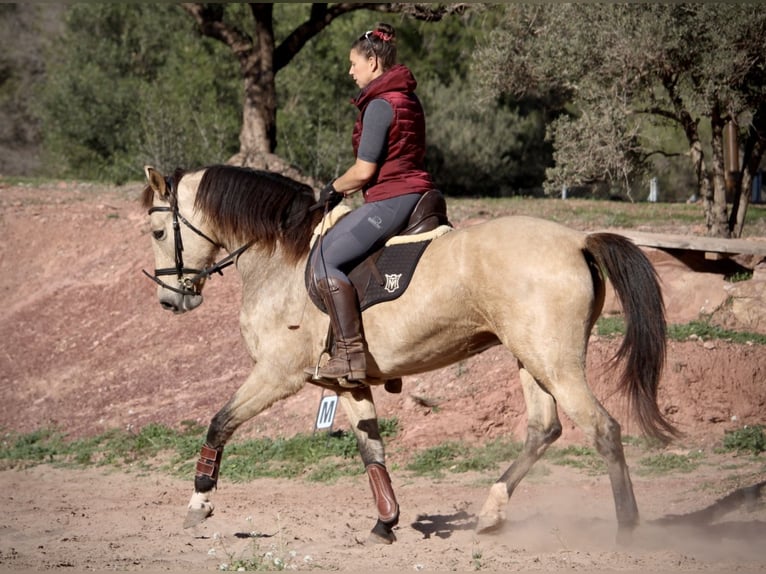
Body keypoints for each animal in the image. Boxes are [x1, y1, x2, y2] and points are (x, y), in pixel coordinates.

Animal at [142, 164, 680, 548]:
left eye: (157, 234)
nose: (170, 301)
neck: (282, 258)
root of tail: (577, 240)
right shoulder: (347, 383)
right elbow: (371, 451)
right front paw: (386, 523)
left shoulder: (277, 374)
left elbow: (220, 423)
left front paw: (199, 502)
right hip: (532, 359)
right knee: (543, 429)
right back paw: (491, 511)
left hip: (556, 364)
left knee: (604, 429)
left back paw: (627, 530)